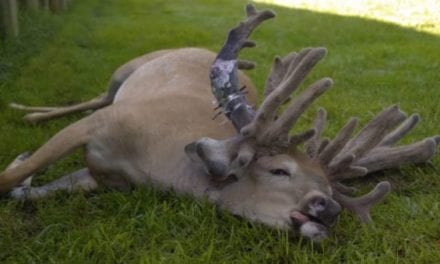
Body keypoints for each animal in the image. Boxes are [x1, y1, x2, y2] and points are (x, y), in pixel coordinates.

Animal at [1, 4, 438, 241]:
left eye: (330, 188)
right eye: (279, 170)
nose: (328, 207)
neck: (154, 163)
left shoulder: (102, 177)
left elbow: (28, 192)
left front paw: (25, 178)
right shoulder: (106, 122)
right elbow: (11, 178)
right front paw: (19, 162)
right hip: (122, 75)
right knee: (95, 98)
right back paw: (28, 110)